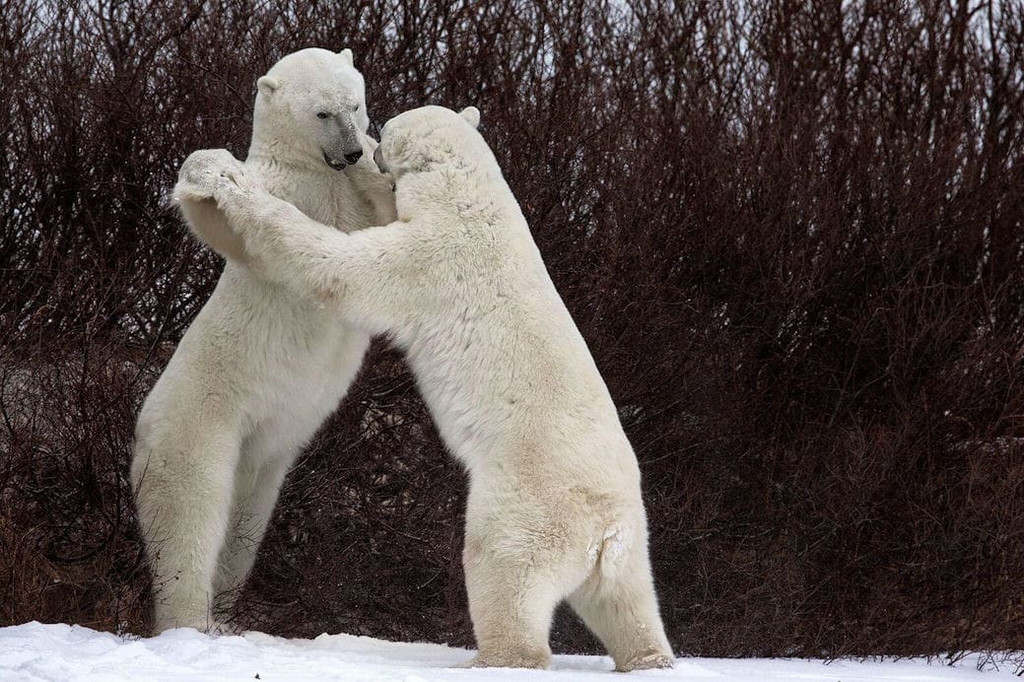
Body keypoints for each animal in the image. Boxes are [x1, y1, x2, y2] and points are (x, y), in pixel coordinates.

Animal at [130, 47, 393, 630]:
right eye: (321, 113)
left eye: (355, 104)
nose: (350, 150)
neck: (315, 171)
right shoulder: (287, 189)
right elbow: (229, 224)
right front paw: (210, 170)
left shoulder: (348, 198)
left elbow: (388, 220)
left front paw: (380, 159)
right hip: (198, 427)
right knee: (190, 517)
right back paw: (190, 619)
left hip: (265, 457)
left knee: (245, 527)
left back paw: (228, 610)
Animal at [176, 106, 671, 667]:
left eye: (388, 129)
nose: (368, 148)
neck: (472, 200)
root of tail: (604, 530)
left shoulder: (432, 257)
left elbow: (341, 267)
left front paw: (232, 185)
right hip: (632, 544)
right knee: (628, 602)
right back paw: (649, 657)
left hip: (527, 505)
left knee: (503, 569)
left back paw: (492, 657)